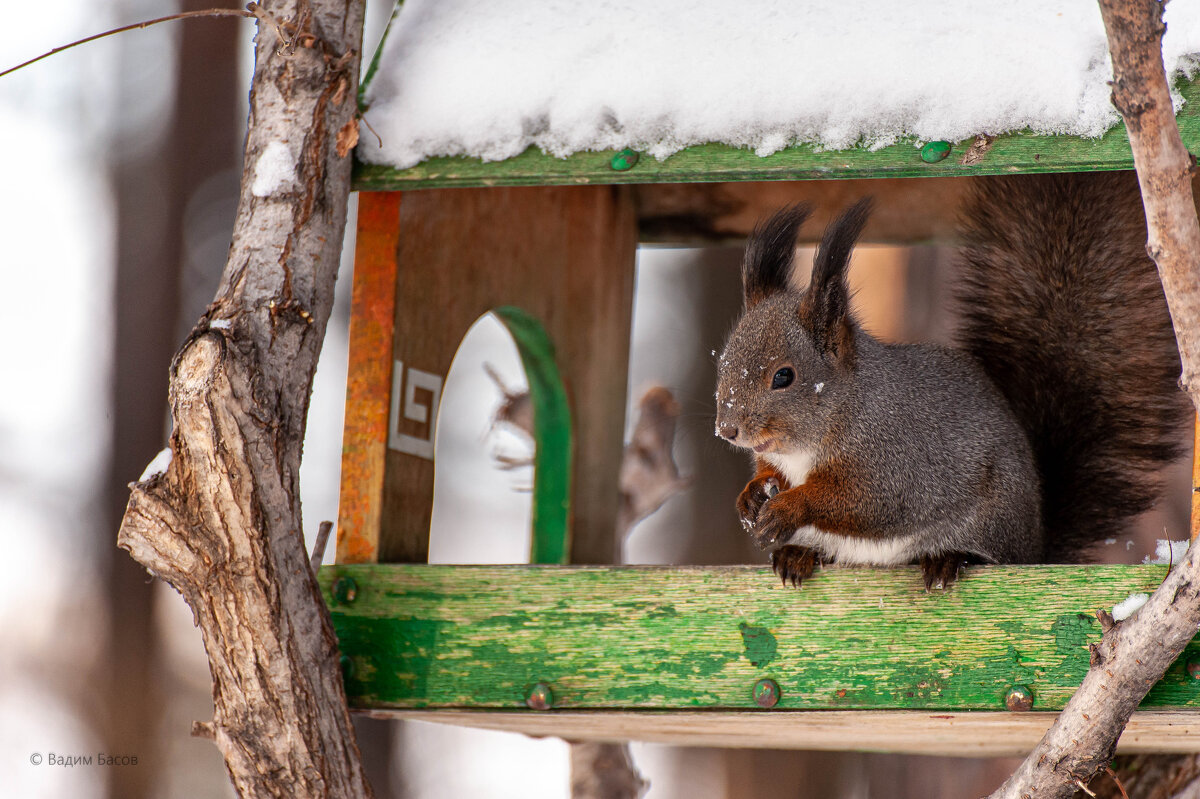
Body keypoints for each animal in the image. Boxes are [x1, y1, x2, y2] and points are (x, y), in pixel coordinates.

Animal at [710, 172, 1190, 585]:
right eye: (724, 363)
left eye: (784, 376)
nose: (727, 430)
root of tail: (1036, 543)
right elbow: (768, 472)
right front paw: (751, 495)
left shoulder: (896, 461)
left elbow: (867, 503)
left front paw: (789, 506)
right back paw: (798, 554)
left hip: (993, 526)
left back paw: (948, 560)